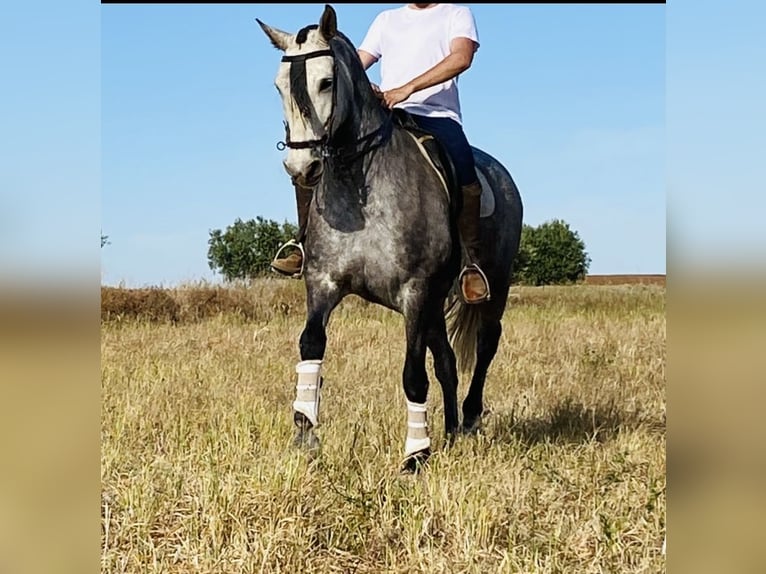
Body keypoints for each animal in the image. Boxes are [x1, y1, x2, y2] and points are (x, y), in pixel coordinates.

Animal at [260, 5, 524, 472]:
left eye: (326, 82)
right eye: (279, 86)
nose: (300, 168)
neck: (360, 189)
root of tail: (502, 175)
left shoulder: (414, 293)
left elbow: (413, 375)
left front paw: (414, 455)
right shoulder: (324, 284)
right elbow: (311, 346)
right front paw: (305, 433)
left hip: (493, 284)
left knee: (486, 344)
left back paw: (470, 420)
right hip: (437, 303)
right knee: (448, 361)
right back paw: (451, 431)